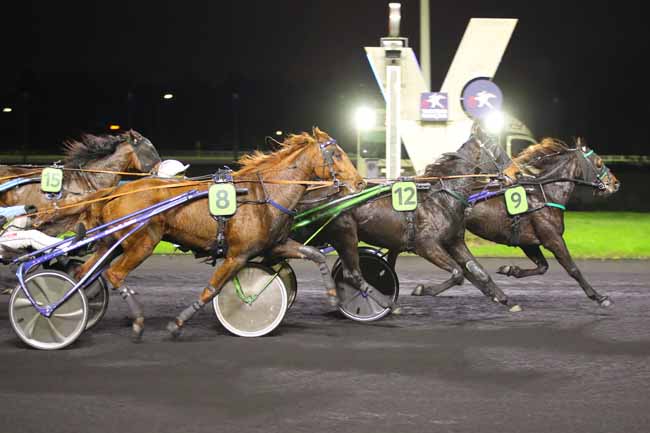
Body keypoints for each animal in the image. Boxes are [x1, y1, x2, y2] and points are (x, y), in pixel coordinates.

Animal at [43, 126, 362, 340]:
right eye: (336, 153)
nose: (359, 181)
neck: (263, 195)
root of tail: (117, 190)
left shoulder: (274, 246)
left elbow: (314, 255)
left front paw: (333, 296)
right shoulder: (236, 255)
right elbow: (212, 289)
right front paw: (178, 323)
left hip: (115, 242)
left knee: (84, 270)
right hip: (143, 242)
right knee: (113, 274)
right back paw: (135, 320)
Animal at [292, 135, 520, 310]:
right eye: (497, 150)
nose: (516, 173)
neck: (441, 197)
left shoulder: (454, 241)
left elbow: (478, 271)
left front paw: (504, 299)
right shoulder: (426, 245)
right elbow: (458, 273)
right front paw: (422, 289)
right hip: (344, 233)